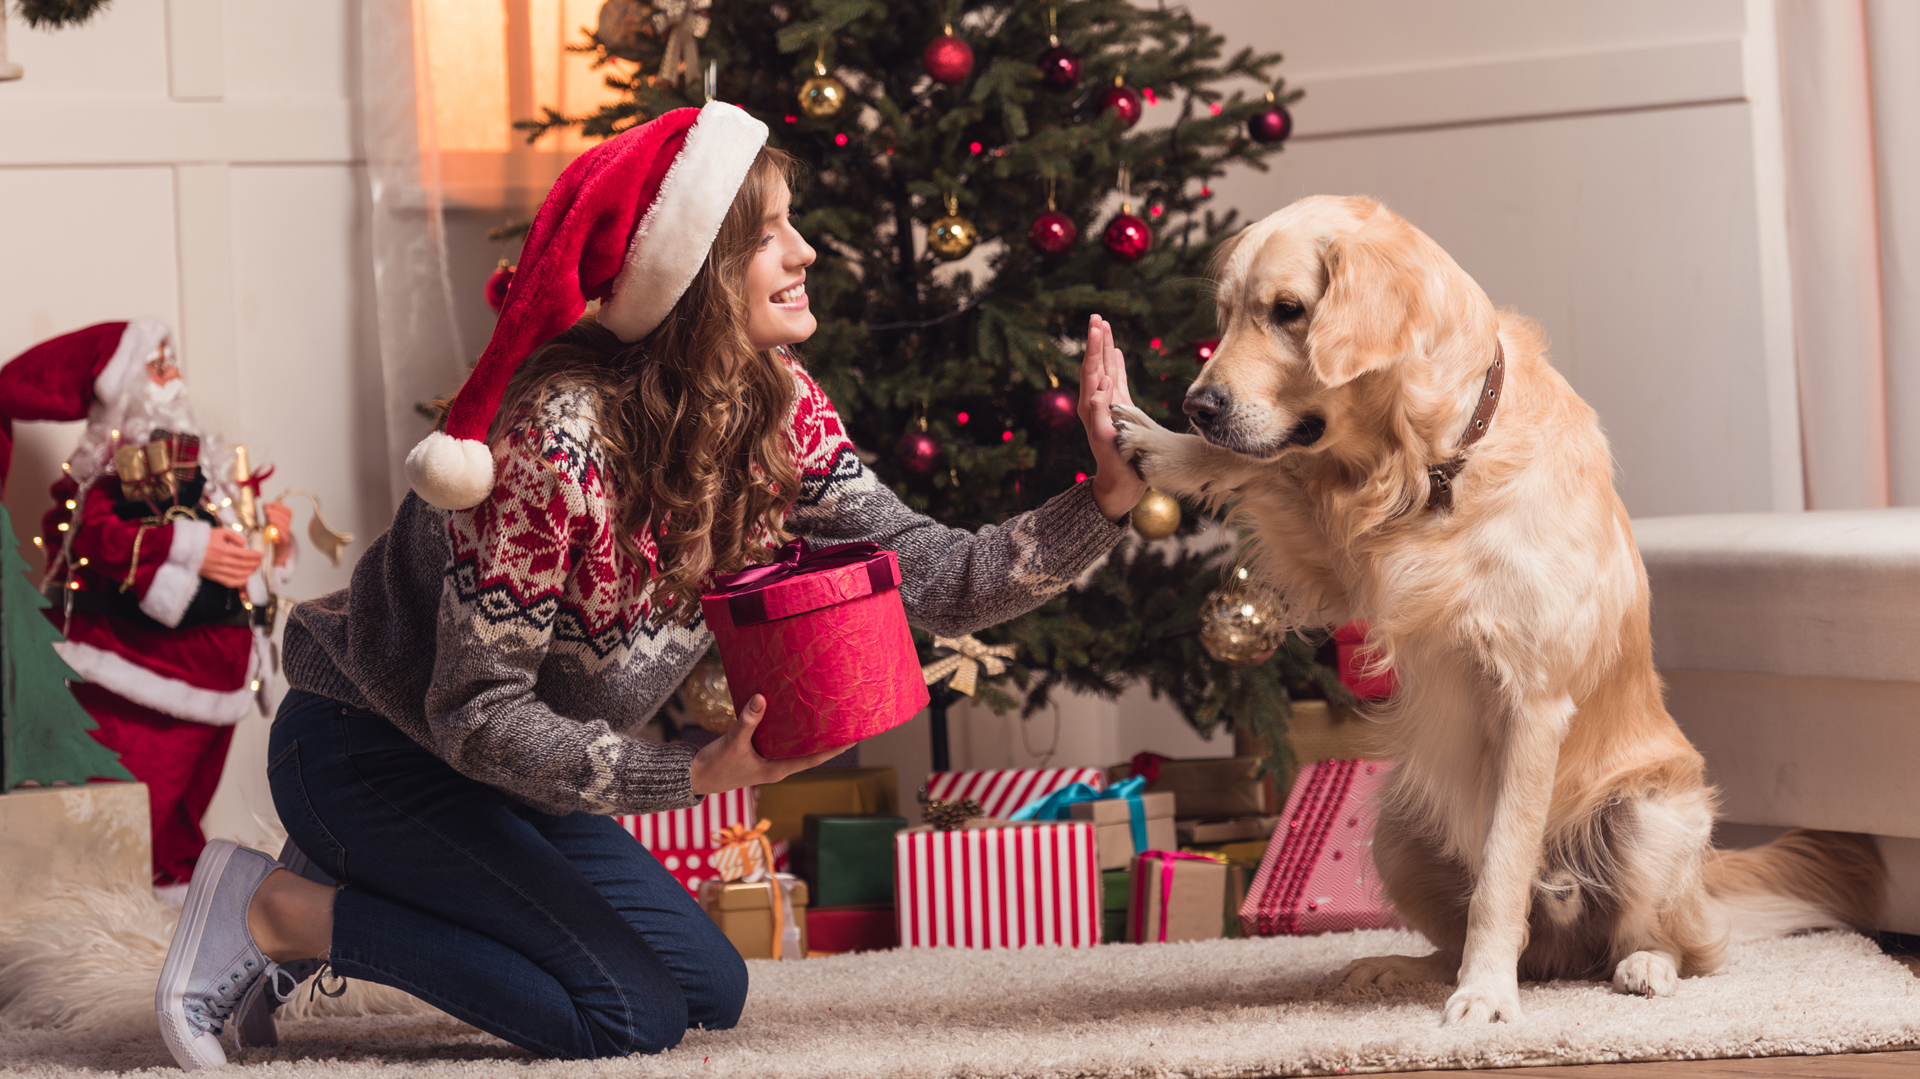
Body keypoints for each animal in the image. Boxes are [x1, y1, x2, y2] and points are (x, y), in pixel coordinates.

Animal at [1121, 194, 1881, 1021]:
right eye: (1224, 315)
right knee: (1480, 940)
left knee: (1676, 944)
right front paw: (1161, 446)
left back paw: (1643, 965)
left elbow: (1501, 876)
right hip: (1399, 826)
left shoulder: (1532, 700)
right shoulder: (1349, 564)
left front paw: (1485, 996)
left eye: (1287, 310)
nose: (1197, 403)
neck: (1437, 458)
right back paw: (1399, 965)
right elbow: (1267, 470)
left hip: (1647, 816)